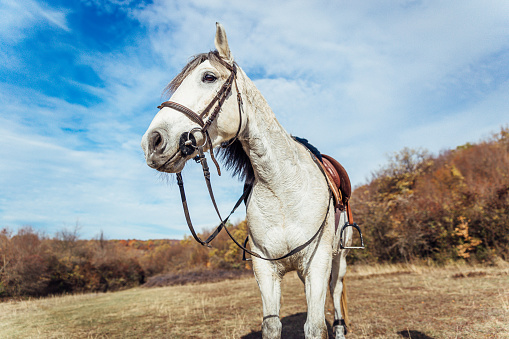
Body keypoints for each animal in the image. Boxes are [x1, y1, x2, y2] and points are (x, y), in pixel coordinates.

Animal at [141, 23, 352, 339]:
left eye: (208, 77)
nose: (152, 142)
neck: (282, 188)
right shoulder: (265, 270)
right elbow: (272, 325)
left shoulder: (318, 263)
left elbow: (315, 326)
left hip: (339, 260)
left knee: (336, 292)